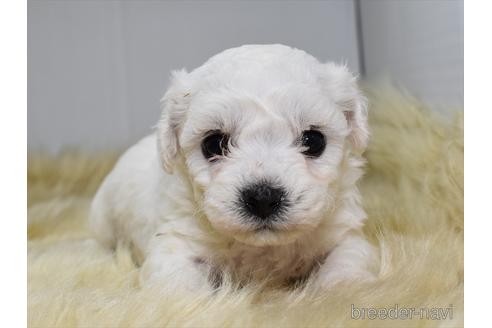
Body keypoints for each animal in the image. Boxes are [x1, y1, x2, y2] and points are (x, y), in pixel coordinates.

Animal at [90, 44, 378, 292]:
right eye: (213, 144)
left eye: (314, 141)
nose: (263, 197)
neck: (262, 249)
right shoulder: (176, 240)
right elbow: (179, 287)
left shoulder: (344, 235)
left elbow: (346, 266)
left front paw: (339, 290)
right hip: (103, 218)